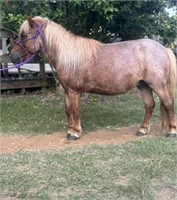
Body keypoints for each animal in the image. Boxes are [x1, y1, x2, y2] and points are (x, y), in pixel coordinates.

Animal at [10, 16, 176, 141]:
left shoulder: (74, 91)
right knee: (150, 105)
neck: (68, 55)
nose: (13, 56)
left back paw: (172, 131)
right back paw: (143, 130)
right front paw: (70, 131)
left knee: (168, 103)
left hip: (157, 85)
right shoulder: (67, 91)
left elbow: (75, 110)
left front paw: (76, 133)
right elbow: (68, 110)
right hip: (144, 85)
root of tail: (164, 48)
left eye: (24, 35)